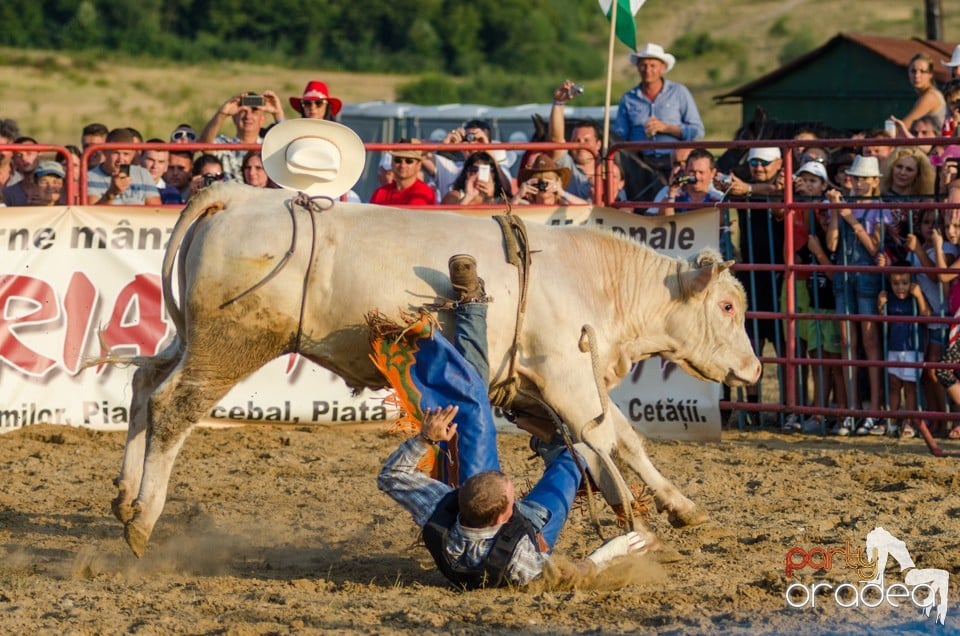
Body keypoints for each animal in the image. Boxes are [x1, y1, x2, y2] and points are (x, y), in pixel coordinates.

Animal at [114, 183, 756, 556]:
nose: (752, 370)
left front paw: (681, 507)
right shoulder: (567, 377)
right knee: (173, 406)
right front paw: (634, 519)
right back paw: (142, 520)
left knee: (145, 382)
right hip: (232, 342)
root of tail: (238, 196)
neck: (593, 280)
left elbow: (625, 439)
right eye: (727, 306)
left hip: (194, 336)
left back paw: (123, 496)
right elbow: (603, 440)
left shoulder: (560, 387)